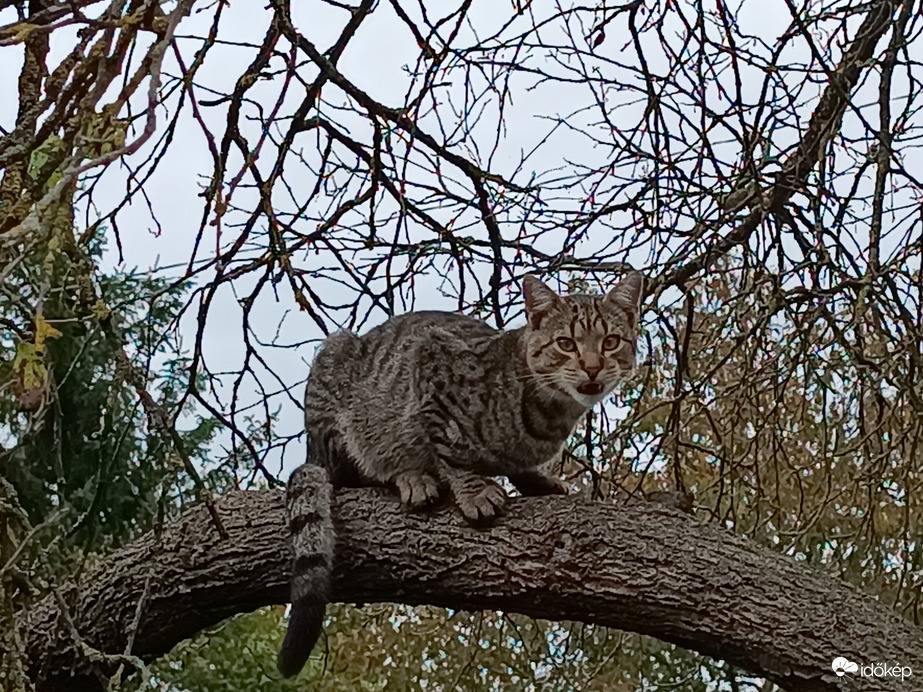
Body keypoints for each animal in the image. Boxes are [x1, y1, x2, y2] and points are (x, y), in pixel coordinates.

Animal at [278, 270, 648, 676]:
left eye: (610, 342)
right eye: (566, 343)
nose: (592, 367)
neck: (548, 413)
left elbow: (519, 467)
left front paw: (536, 479)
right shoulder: (430, 364)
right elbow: (448, 450)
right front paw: (473, 490)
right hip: (335, 371)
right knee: (358, 471)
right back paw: (410, 476)